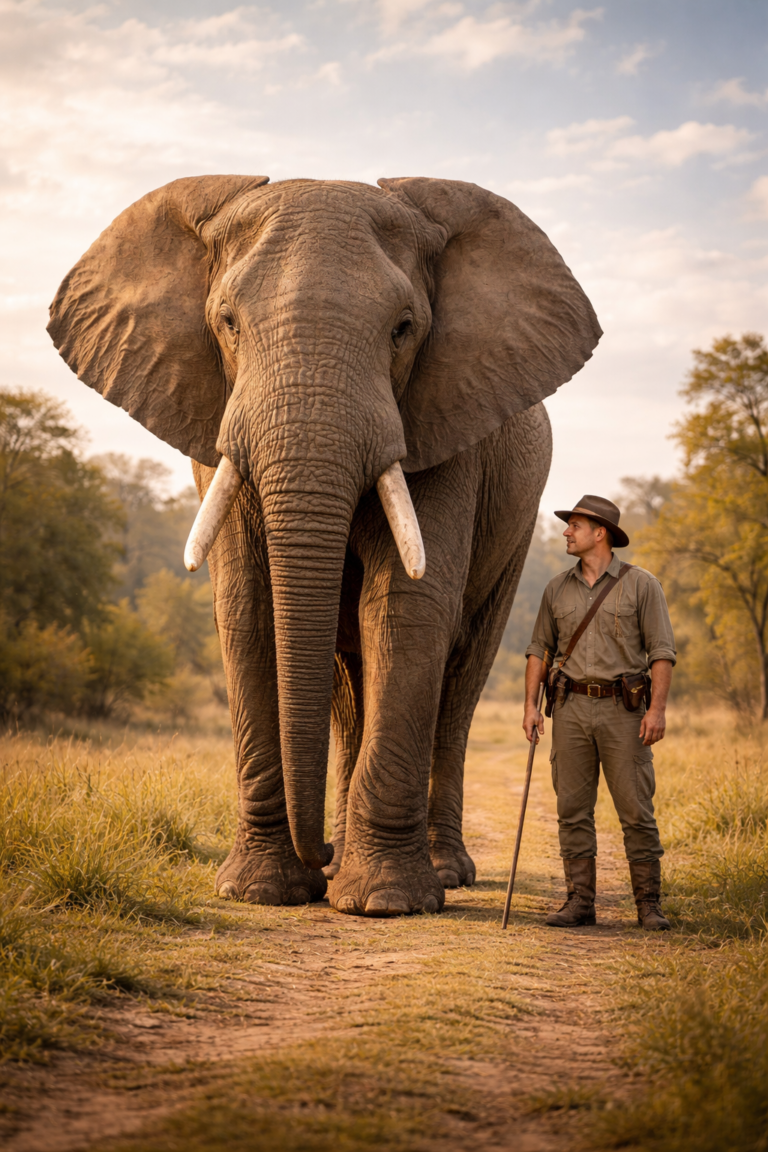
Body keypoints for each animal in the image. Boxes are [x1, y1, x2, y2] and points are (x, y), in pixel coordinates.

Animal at [47, 175, 601, 917]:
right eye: (227, 322)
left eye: (403, 328)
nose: (322, 855)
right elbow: (247, 609)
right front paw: (261, 892)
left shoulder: (446, 426)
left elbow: (404, 610)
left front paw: (386, 903)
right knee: (345, 684)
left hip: (515, 526)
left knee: (459, 680)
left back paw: (435, 870)